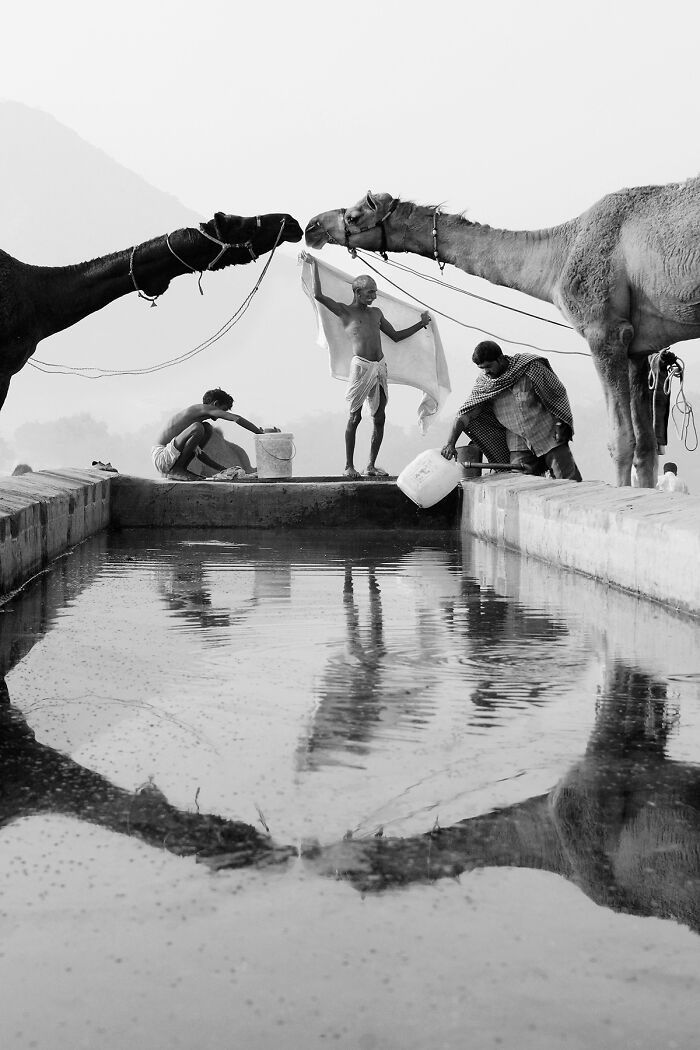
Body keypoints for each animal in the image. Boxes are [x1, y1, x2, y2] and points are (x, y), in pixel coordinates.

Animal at [305, 183, 700, 487]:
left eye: (354, 216)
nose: (312, 226)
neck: (559, 255)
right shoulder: (637, 346)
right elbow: (646, 447)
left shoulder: (604, 330)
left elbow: (621, 440)